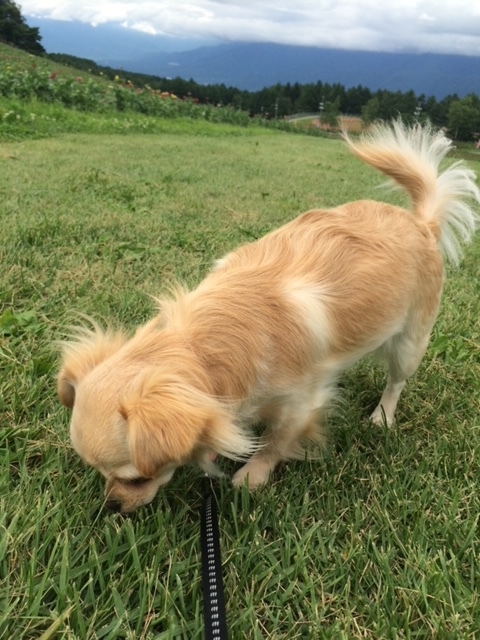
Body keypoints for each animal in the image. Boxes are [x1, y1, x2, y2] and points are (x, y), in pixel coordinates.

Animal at [58, 120, 478, 512]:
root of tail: (421, 223)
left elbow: (276, 441)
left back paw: (382, 416)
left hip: (411, 341)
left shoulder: (300, 403)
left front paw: (252, 476)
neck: (205, 346)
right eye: (101, 474)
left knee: (396, 381)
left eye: (136, 478)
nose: (112, 505)